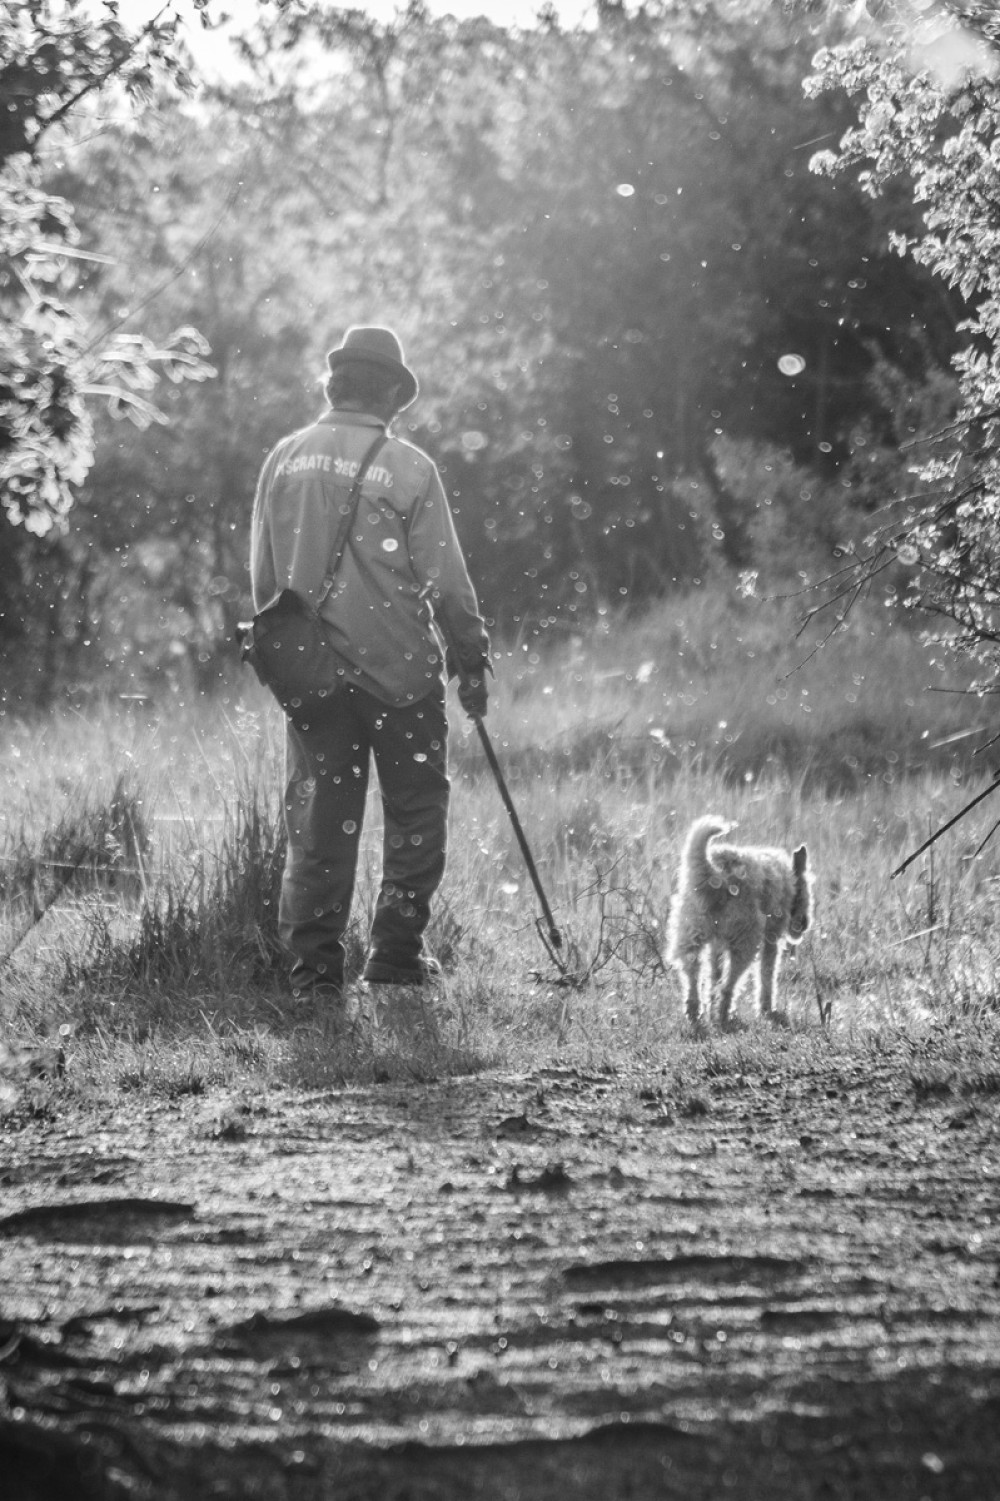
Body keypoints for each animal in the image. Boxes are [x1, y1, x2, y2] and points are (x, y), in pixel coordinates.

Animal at [660, 816, 810, 1026]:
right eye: (807, 891)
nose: (805, 924)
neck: (790, 882)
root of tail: (715, 874)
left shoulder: (715, 944)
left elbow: (713, 975)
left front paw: (710, 1005)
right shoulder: (771, 939)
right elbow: (767, 974)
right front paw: (766, 1009)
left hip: (690, 933)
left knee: (693, 975)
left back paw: (695, 1011)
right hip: (745, 942)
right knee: (729, 985)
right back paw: (724, 1014)